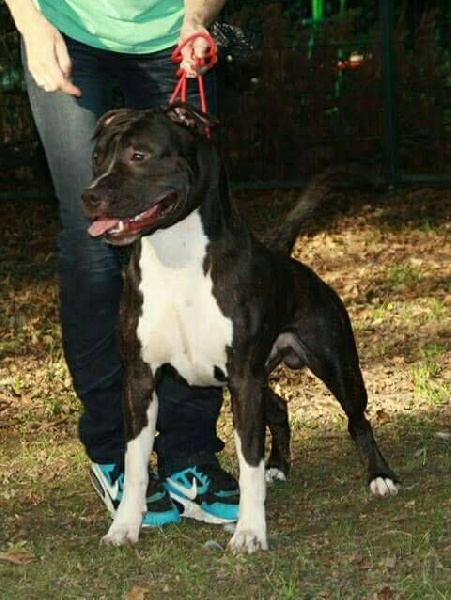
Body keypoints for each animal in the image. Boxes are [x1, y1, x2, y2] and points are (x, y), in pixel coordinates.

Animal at [81, 103, 399, 553]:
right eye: (97, 157)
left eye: (138, 155)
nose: (89, 196)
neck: (176, 257)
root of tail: (286, 259)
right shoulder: (140, 380)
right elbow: (136, 461)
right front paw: (125, 525)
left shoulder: (243, 379)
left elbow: (248, 458)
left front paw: (250, 532)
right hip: (262, 374)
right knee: (279, 407)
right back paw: (278, 467)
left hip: (336, 365)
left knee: (358, 419)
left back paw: (379, 476)